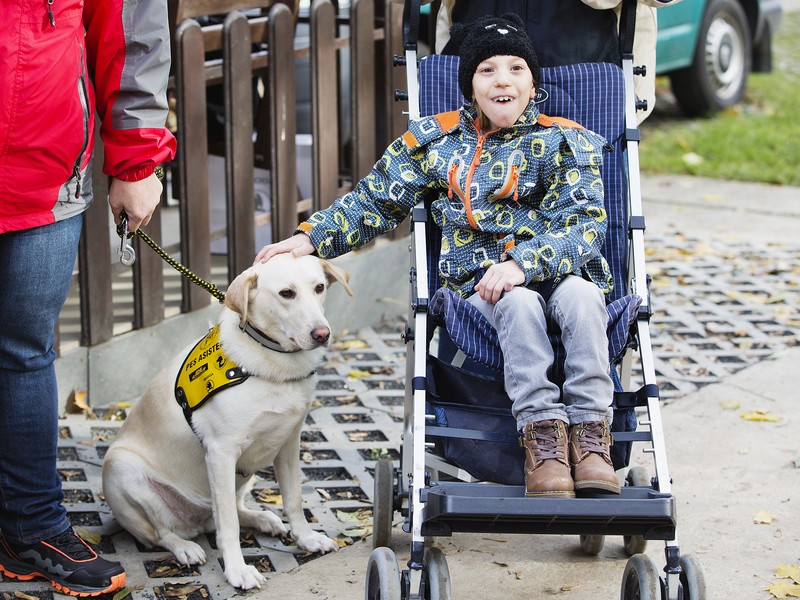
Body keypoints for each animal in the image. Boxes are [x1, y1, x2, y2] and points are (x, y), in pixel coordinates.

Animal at [101, 254, 350, 592]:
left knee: (230, 510)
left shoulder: (288, 442)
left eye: (319, 287)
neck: (273, 361)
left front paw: (307, 538)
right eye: (286, 293)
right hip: (122, 471)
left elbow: (294, 499)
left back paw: (262, 519)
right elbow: (228, 524)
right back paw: (185, 547)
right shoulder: (221, 452)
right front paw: (237, 571)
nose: (322, 334)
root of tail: (195, 521)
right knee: (161, 532)